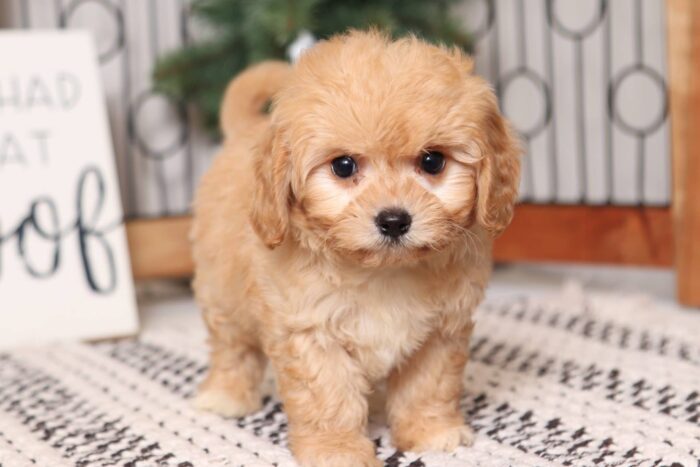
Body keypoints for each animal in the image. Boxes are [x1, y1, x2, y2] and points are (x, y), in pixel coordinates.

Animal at [191, 30, 520, 467]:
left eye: (433, 161)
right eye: (343, 166)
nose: (394, 220)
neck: (381, 271)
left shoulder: (442, 330)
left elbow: (428, 385)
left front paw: (431, 432)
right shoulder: (310, 331)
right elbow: (328, 398)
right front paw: (337, 450)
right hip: (221, 291)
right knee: (232, 346)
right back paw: (225, 395)